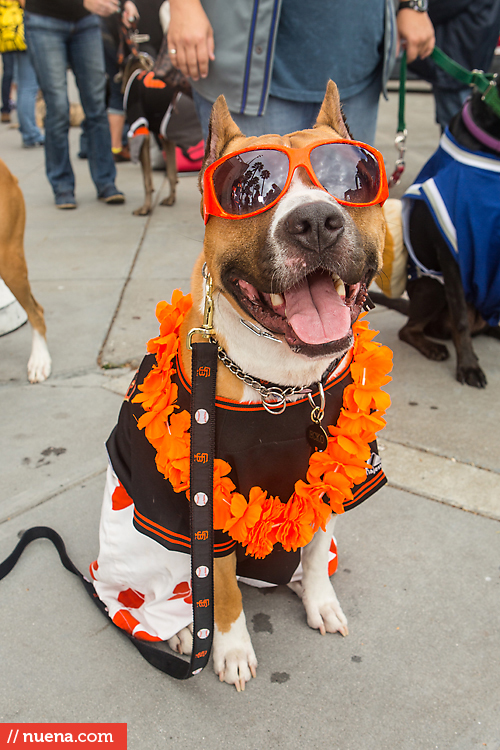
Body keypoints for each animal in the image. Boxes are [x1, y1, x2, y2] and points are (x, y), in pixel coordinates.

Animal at [92, 83, 388, 692]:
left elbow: (316, 545)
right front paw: (228, 648)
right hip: (145, 543)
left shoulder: (333, 478)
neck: (285, 384)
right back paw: (181, 630)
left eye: (351, 176)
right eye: (246, 188)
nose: (316, 221)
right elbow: (221, 584)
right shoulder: (209, 506)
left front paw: (320, 599)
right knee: (157, 597)